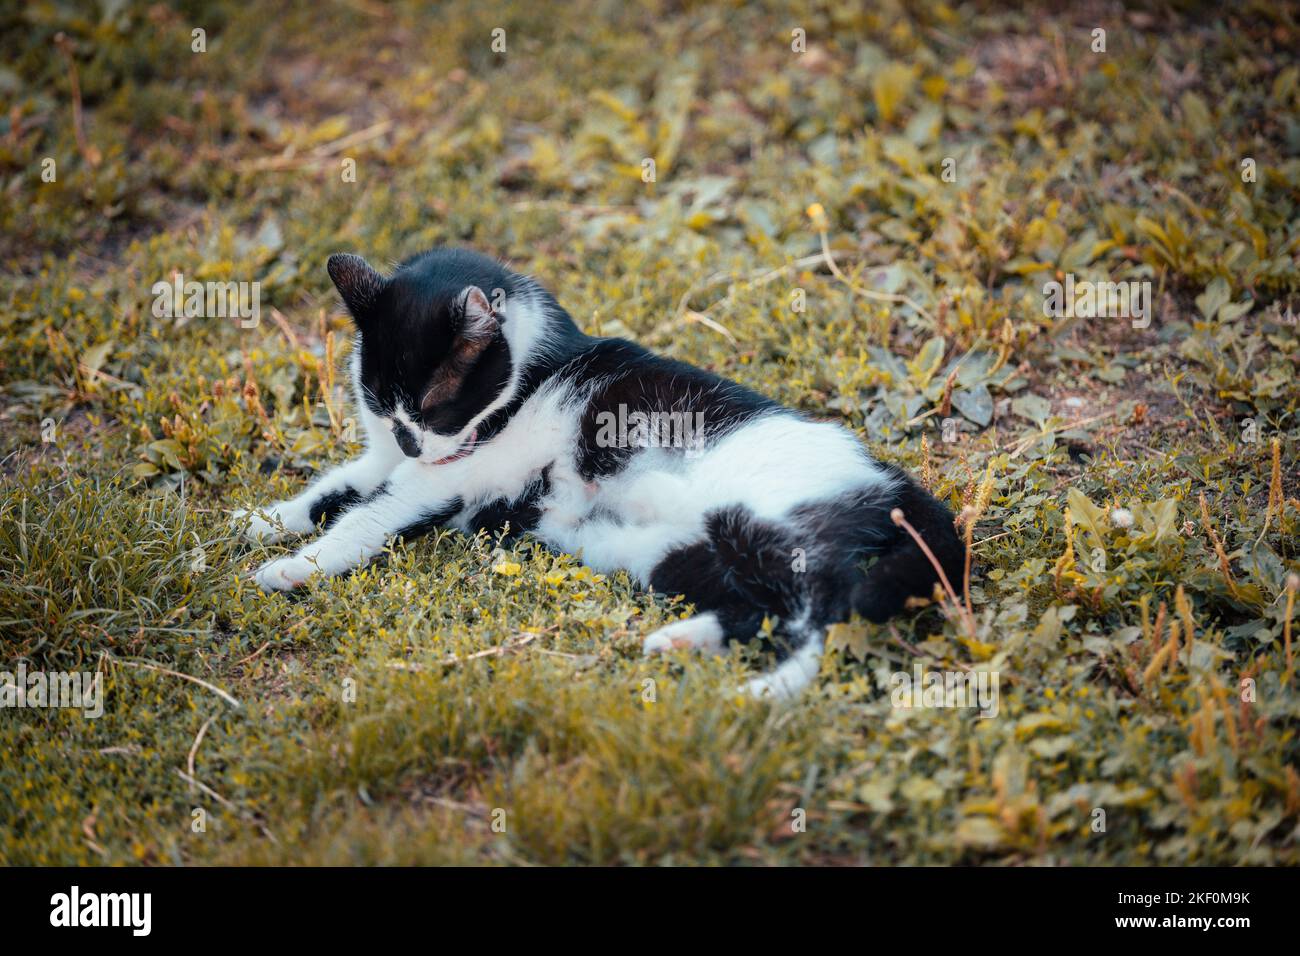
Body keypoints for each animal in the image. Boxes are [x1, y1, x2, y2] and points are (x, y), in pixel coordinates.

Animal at [233, 247, 967, 697]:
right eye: (380, 401)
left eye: (434, 404)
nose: (413, 442)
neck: (532, 378)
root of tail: (894, 481)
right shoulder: (385, 461)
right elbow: (334, 489)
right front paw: (263, 521)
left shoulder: (440, 480)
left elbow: (367, 517)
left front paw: (295, 566)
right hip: (680, 557)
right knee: (763, 610)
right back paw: (679, 640)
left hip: (762, 523)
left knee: (829, 611)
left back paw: (770, 690)